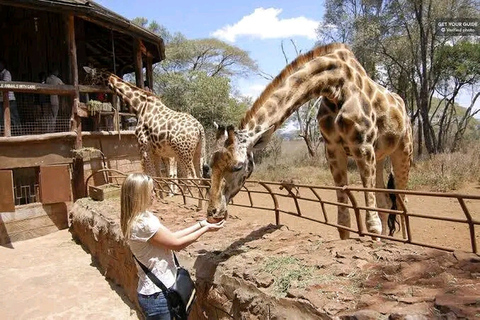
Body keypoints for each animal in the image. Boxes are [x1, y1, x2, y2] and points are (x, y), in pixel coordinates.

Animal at [83, 66, 207, 209]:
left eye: (89, 76)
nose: (86, 93)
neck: (139, 106)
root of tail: (199, 128)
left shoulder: (144, 147)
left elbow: (151, 175)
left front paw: (153, 199)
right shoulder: (156, 152)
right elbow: (158, 176)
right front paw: (161, 197)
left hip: (184, 153)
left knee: (194, 178)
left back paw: (195, 206)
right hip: (197, 152)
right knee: (200, 177)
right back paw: (200, 205)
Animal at [205, 42, 412, 239]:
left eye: (238, 166)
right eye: (209, 166)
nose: (212, 212)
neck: (335, 85)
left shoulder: (363, 146)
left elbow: (372, 222)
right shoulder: (333, 149)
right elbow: (343, 221)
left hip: (403, 151)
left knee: (403, 203)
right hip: (380, 156)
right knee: (386, 201)